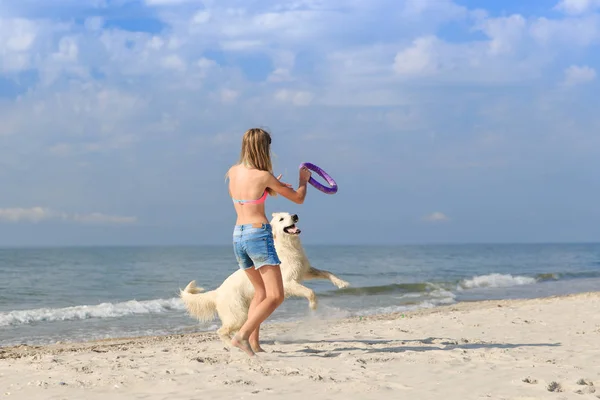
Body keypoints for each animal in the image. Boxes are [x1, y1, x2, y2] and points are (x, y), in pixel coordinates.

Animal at [178, 211, 350, 346]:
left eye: (289, 213)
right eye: (281, 219)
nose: (295, 216)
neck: (288, 246)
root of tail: (217, 291)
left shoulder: (304, 270)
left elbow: (327, 272)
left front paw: (342, 283)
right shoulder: (287, 282)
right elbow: (310, 292)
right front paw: (313, 306)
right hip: (238, 313)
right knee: (222, 331)